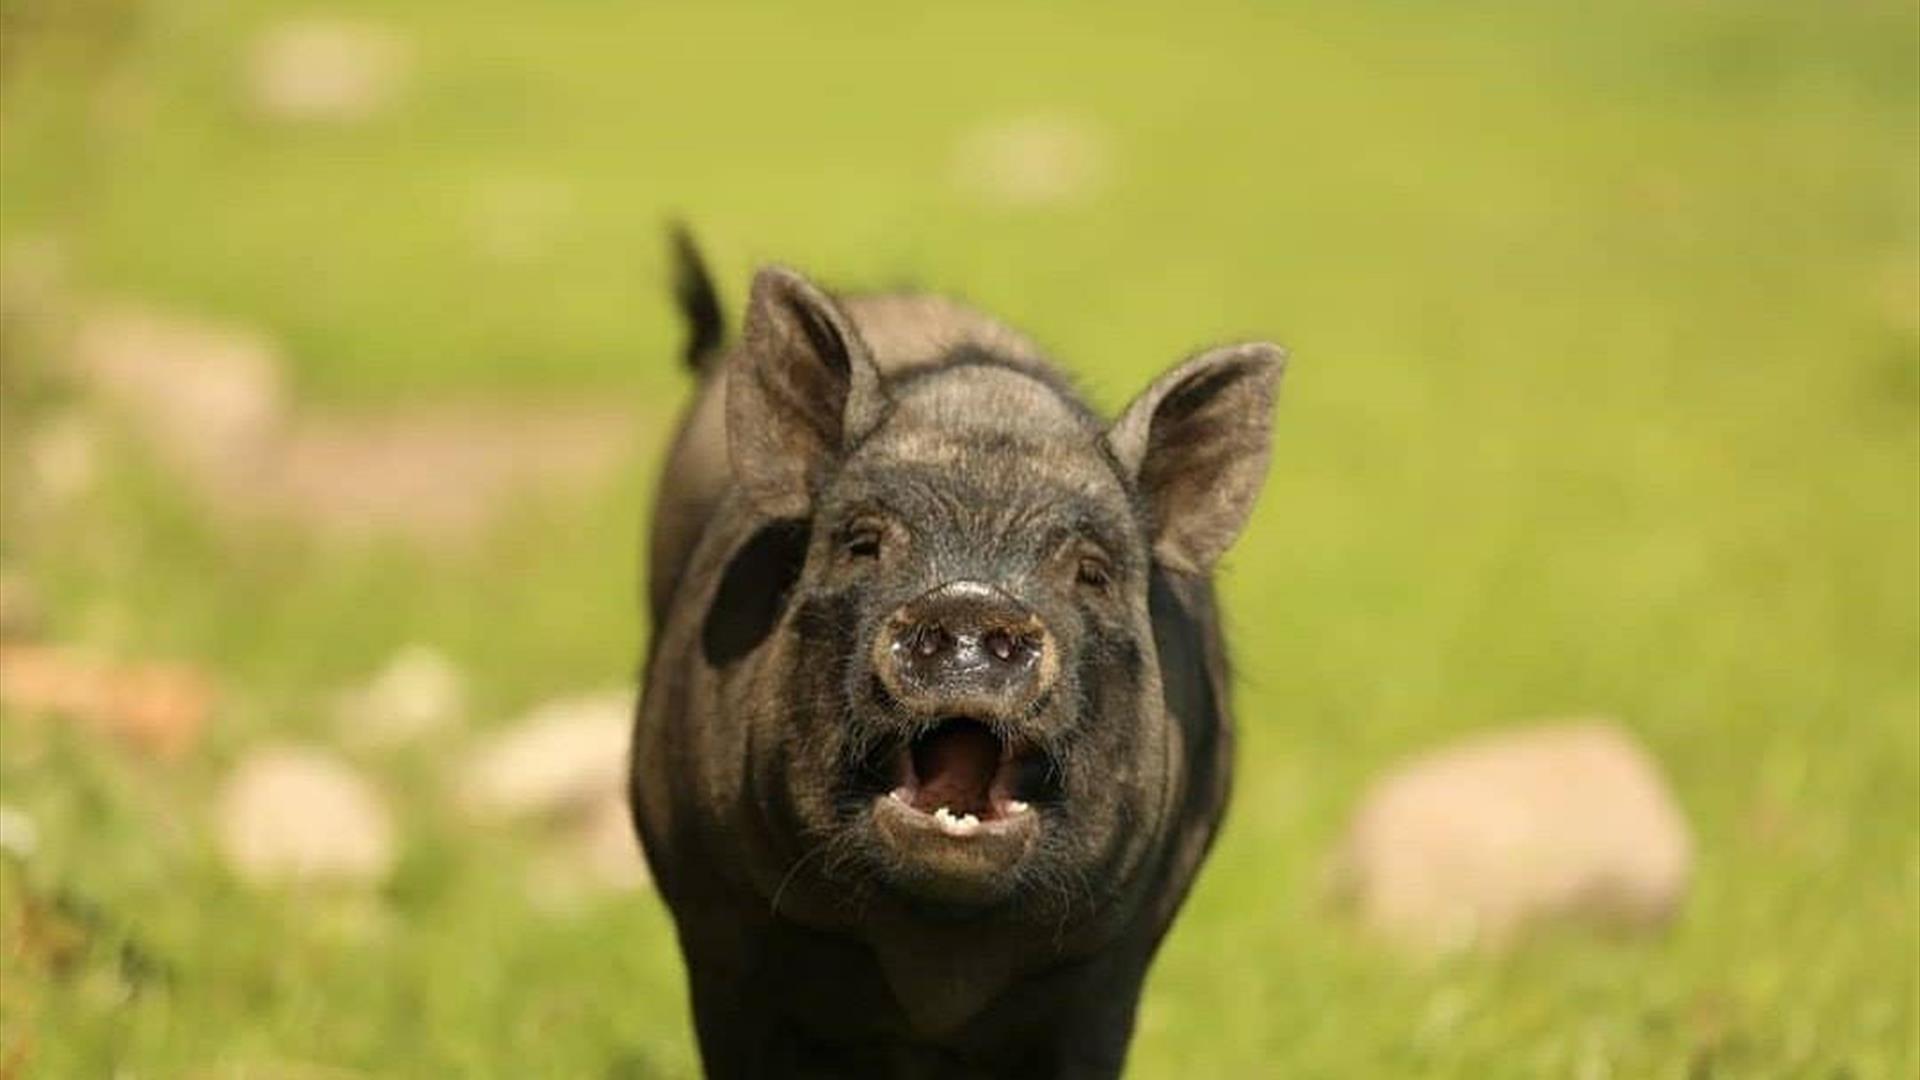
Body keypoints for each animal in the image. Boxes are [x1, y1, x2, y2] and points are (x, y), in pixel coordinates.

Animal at [630, 229, 1286, 1078]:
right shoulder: (716, 929)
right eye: (862, 542)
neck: (935, 972)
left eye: (1093, 571)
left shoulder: (1114, 960)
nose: (971, 599)